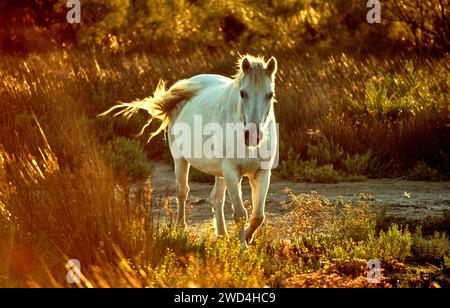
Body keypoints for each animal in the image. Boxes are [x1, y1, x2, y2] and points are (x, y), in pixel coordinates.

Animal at [101, 55, 278, 248]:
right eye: (243, 93)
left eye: (270, 94)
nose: (252, 136)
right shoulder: (232, 172)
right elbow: (240, 214)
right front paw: (243, 248)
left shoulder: (262, 172)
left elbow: (258, 216)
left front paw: (246, 238)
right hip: (181, 160)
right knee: (182, 192)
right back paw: (181, 229)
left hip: (220, 172)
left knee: (217, 199)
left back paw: (222, 236)